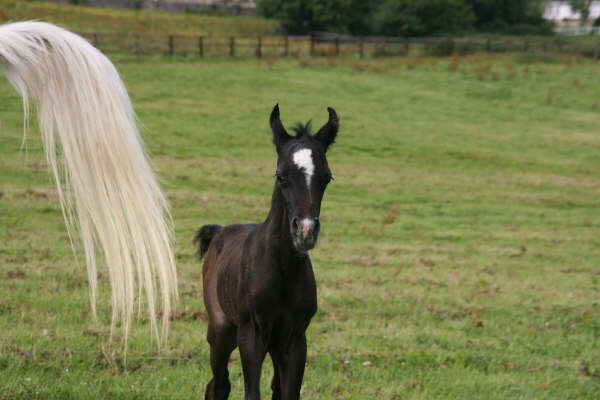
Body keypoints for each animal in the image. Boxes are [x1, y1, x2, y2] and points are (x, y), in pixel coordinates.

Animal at [196, 104, 340, 398]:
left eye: (326, 178)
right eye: (281, 176)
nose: (305, 231)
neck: (282, 268)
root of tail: (219, 232)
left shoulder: (295, 339)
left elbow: (288, 392)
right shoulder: (251, 335)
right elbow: (252, 392)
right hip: (221, 331)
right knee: (219, 383)